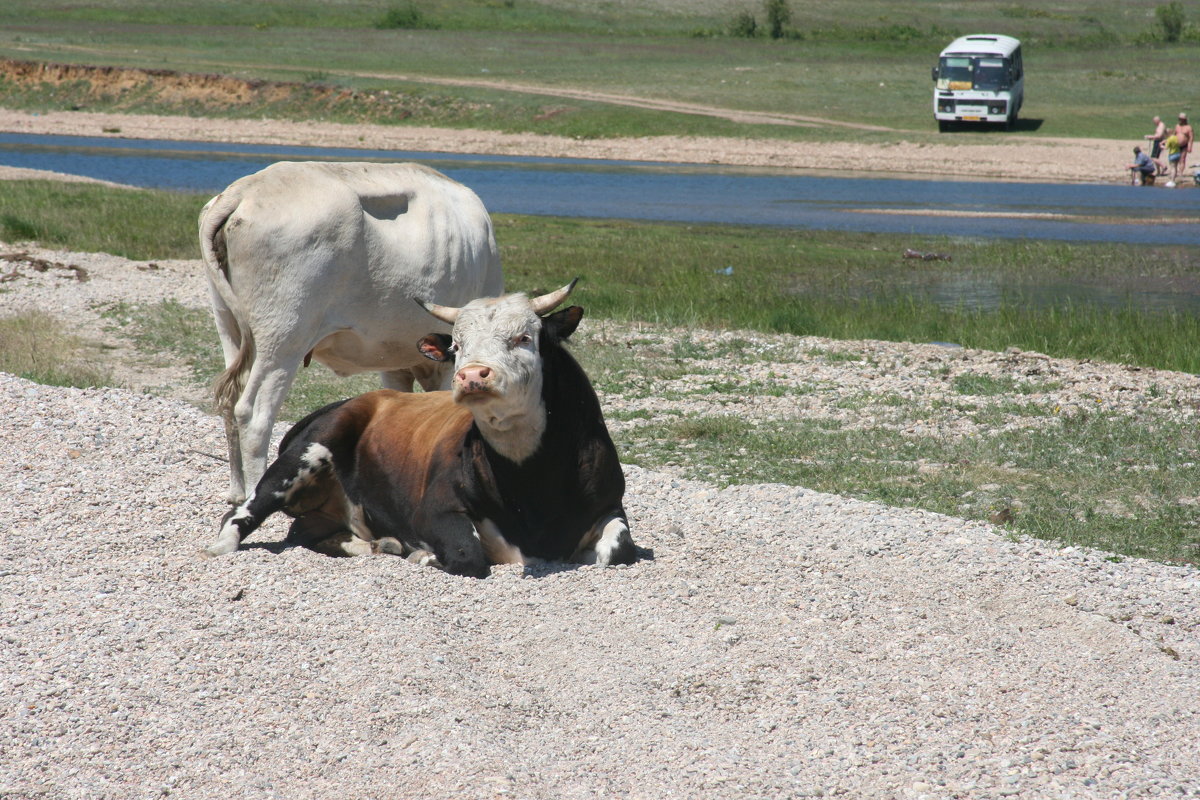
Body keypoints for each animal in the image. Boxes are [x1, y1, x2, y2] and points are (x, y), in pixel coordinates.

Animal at [201, 159, 501, 503]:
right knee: (253, 414)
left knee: (229, 400)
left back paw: (237, 491)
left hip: (229, 325)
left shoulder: (396, 362)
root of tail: (246, 189)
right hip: (282, 339)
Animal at [204, 281, 648, 575]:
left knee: (305, 532)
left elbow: (618, 551)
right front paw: (427, 554)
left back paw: (377, 542)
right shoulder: (435, 510)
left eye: (524, 337)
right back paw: (221, 544)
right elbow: (468, 555)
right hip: (308, 451)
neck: (531, 482)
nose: (472, 376)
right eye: (456, 345)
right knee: (241, 512)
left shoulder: (610, 504)